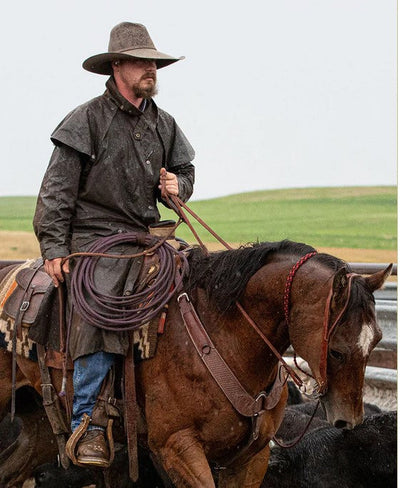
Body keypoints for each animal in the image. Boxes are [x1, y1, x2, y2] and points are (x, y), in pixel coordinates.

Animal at [0, 241, 392, 488]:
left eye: (376, 339)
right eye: (337, 350)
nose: (348, 420)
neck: (225, 338)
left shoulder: (251, 458)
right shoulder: (177, 447)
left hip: (41, 426)